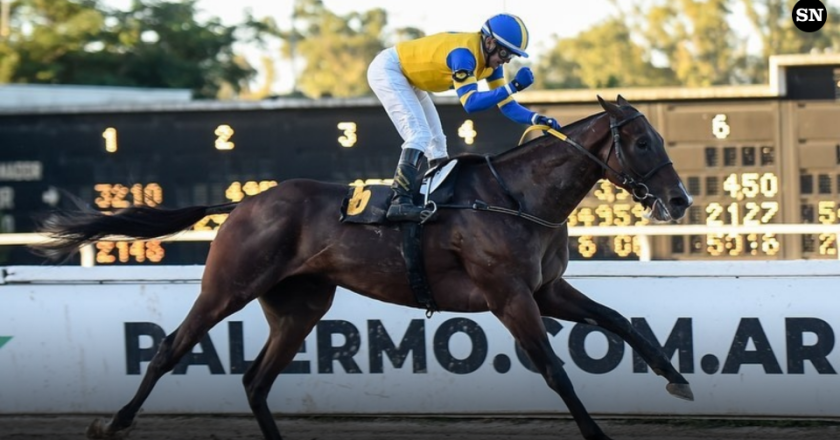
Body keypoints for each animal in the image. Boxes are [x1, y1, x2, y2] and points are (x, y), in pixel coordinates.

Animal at [31, 94, 696, 438]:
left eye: (664, 139)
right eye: (642, 142)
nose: (682, 200)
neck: (517, 196)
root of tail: (243, 201)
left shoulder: (547, 288)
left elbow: (619, 321)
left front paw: (677, 378)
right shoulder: (508, 295)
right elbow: (556, 370)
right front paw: (599, 433)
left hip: (300, 305)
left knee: (256, 380)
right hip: (228, 287)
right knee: (171, 348)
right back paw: (112, 424)